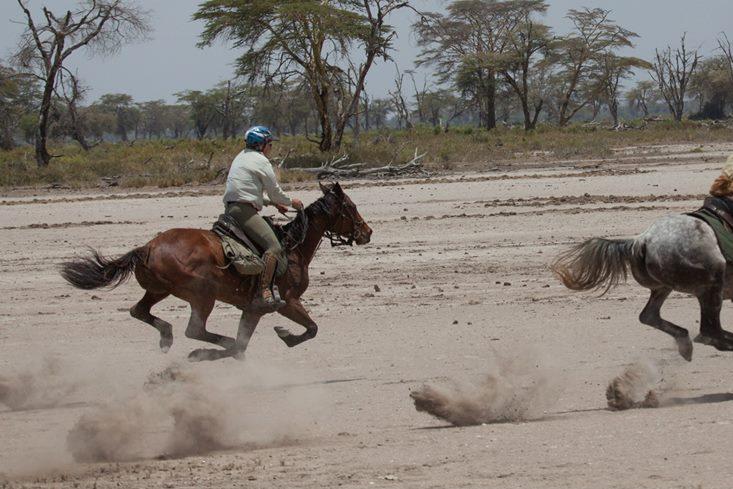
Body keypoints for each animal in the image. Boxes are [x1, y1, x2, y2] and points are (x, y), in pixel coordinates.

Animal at [57, 181, 372, 360]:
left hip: (159, 290)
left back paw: (167, 336)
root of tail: (146, 248)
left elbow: (245, 344)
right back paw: (204, 344)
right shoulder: (286, 302)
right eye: (351, 206)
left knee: (140, 311)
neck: (292, 247)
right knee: (194, 329)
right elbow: (310, 329)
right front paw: (284, 334)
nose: (367, 232)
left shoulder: (252, 309)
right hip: (203, 295)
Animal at [552, 214, 732, 362]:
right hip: (710, 281)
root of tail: (641, 240)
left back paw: (685, 342)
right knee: (708, 332)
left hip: (664, 287)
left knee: (649, 315)